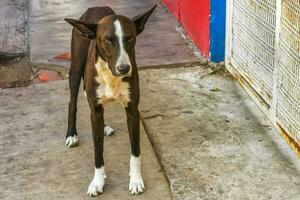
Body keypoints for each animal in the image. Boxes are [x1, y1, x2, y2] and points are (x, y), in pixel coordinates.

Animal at [63, 4, 157, 197]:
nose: (124, 68)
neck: (111, 75)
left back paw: (104, 126)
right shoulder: (96, 110)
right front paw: (97, 182)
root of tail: (95, 7)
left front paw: (136, 180)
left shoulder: (132, 111)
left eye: (130, 39)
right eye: (107, 40)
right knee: (72, 103)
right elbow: (98, 152)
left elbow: (135, 151)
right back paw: (71, 134)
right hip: (75, 67)